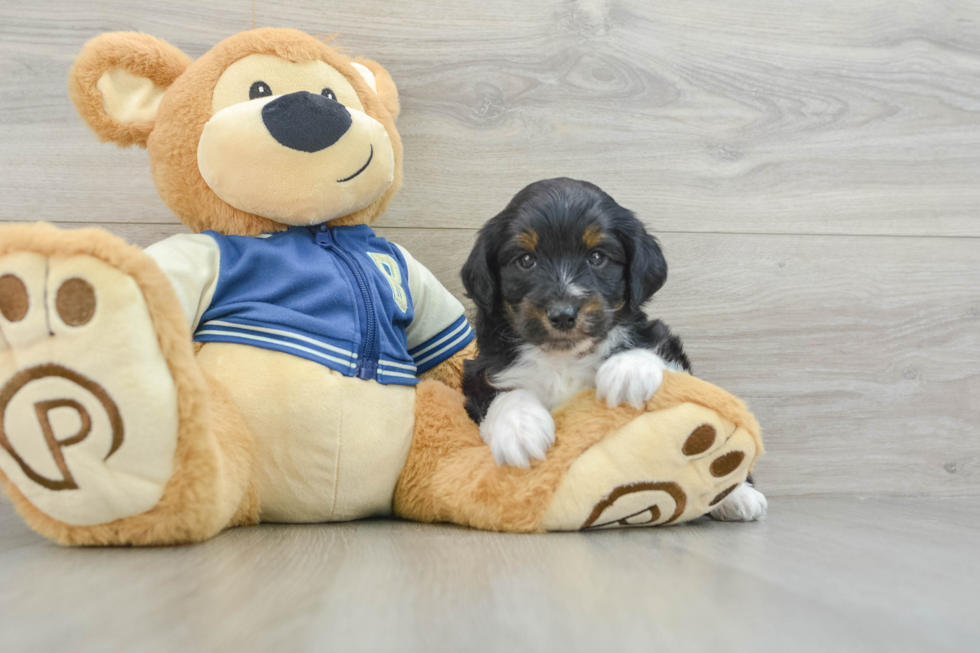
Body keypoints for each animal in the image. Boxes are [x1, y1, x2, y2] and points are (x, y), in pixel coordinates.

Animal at [464, 180, 768, 524]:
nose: (563, 314)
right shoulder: (481, 370)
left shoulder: (660, 339)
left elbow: (647, 345)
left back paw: (740, 496)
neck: (563, 357)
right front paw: (519, 429)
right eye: (526, 260)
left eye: (597, 256)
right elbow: (502, 395)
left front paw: (627, 372)